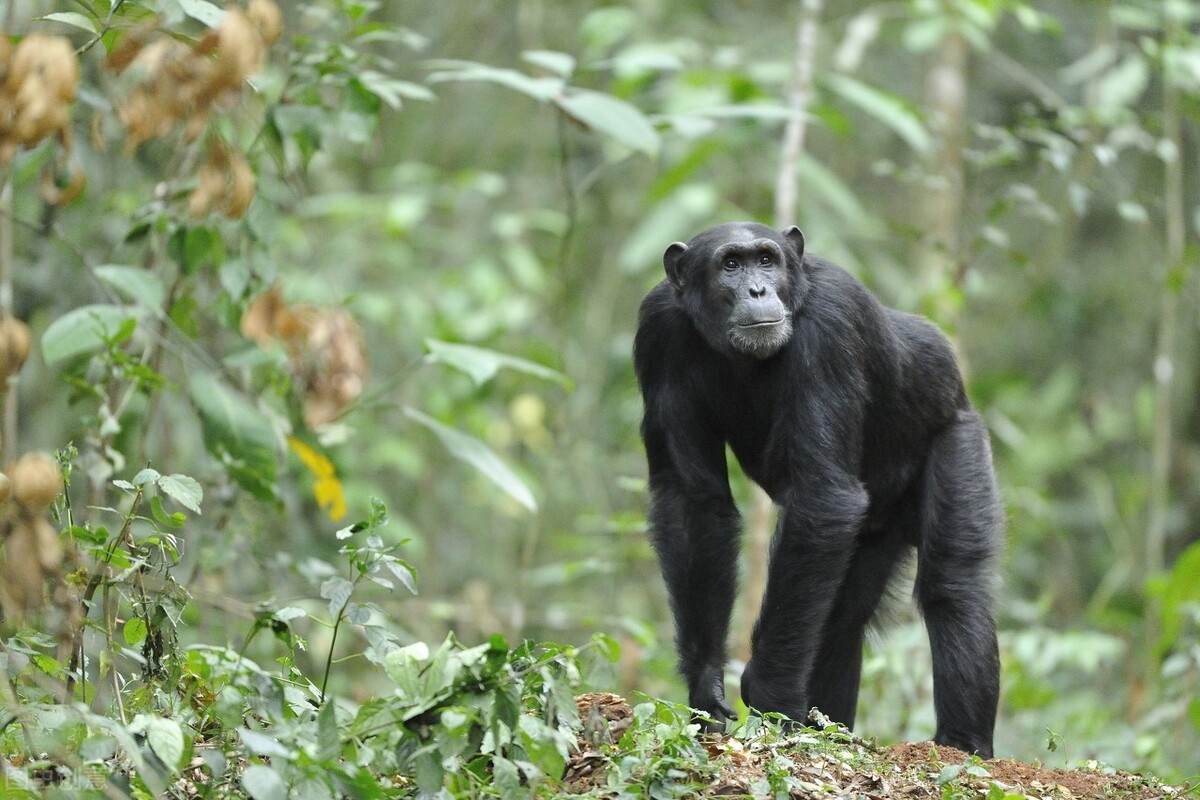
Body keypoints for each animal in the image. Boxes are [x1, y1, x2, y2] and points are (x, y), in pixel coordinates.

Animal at [638, 220, 1003, 758]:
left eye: (767, 260)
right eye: (731, 264)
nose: (758, 289)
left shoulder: (830, 329)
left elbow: (822, 495)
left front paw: (768, 693)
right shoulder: (657, 331)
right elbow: (693, 502)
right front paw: (707, 685)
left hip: (959, 436)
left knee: (953, 587)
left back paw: (962, 744)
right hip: (876, 530)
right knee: (841, 615)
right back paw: (828, 729)